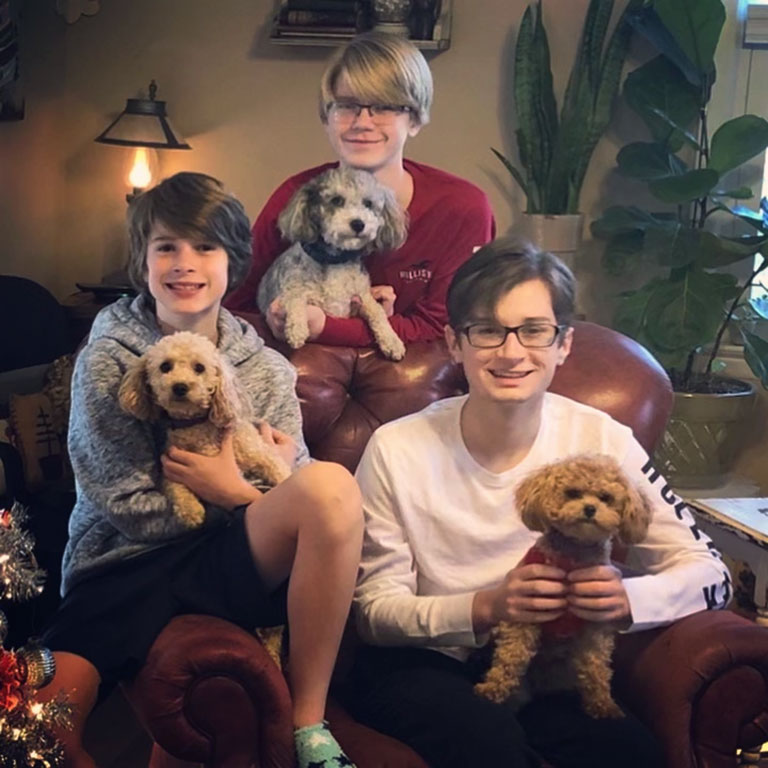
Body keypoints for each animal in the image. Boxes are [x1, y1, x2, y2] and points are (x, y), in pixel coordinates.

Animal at [117, 332, 292, 532]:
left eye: (199, 367)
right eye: (165, 366)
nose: (180, 386)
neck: (195, 426)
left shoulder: (261, 454)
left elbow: (281, 472)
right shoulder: (170, 466)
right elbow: (175, 487)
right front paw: (191, 511)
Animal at [258, 168, 412, 360]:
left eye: (368, 203)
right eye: (336, 200)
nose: (358, 223)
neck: (334, 261)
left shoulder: (362, 297)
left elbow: (378, 311)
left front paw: (392, 341)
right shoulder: (291, 290)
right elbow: (294, 298)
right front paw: (297, 330)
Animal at [476, 452, 652, 716]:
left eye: (605, 498)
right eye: (572, 493)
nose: (590, 508)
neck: (574, 553)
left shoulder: (595, 626)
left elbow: (596, 667)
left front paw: (603, 704)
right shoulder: (525, 615)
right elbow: (512, 656)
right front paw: (493, 688)